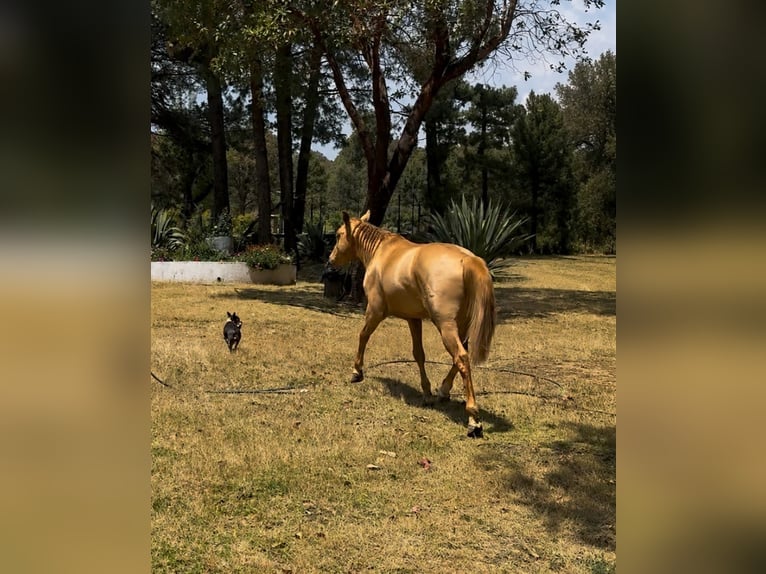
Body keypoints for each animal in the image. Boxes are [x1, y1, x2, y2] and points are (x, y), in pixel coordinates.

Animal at [328, 210, 496, 437]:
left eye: (338, 235)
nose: (331, 260)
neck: (381, 252)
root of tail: (468, 259)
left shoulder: (375, 311)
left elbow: (363, 336)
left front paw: (357, 371)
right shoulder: (413, 319)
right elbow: (419, 354)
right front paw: (426, 392)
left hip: (445, 326)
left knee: (461, 357)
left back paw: (473, 420)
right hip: (460, 326)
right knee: (462, 356)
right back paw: (443, 391)